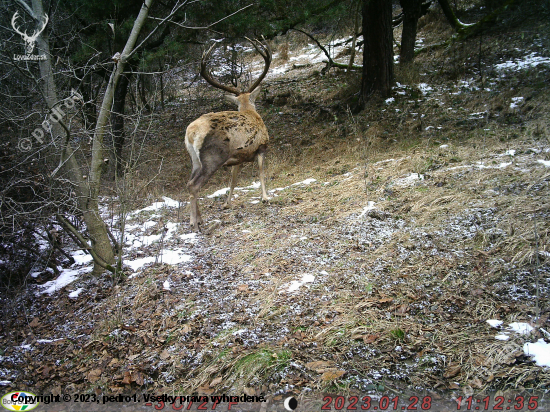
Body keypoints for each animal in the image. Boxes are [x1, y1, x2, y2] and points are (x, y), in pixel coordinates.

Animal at [187, 38, 272, 232]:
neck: (251, 112)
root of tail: (191, 132)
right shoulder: (262, 147)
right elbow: (261, 171)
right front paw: (265, 197)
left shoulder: (238, 156)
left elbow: (233, 179)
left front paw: (227, 203)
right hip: (213, 156)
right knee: (194, 185)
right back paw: (195, 222)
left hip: (195, 159)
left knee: (190, 181)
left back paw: (198, 219)